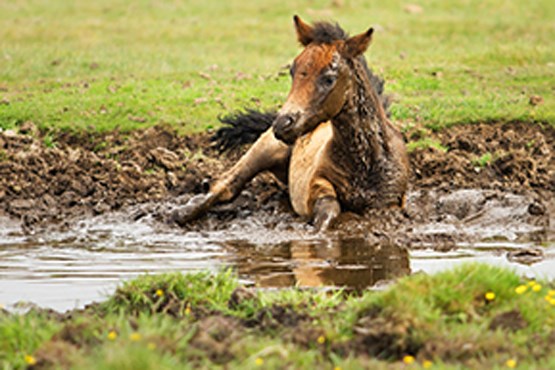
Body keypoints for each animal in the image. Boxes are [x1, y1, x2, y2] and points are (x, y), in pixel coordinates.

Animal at [172, 15, 410, 230]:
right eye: (292, 71)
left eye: (329, 78)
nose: (282, 124)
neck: (365, 163)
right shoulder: (315, 185)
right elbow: (328, 212)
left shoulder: (390, 203)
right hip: (264, 148)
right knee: (227, 184)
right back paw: (182, 211)